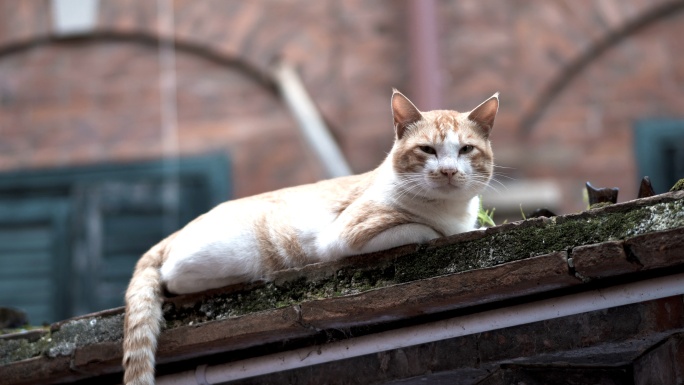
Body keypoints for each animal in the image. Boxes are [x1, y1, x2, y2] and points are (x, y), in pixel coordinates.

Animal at [121, 89, 496, 384]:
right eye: (427, 150)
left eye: (465, 150)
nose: (447, 171)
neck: (451, 209)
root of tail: (173, 234)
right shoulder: (345, 235)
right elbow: (426, 230)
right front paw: (455, 229)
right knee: (175, 278)